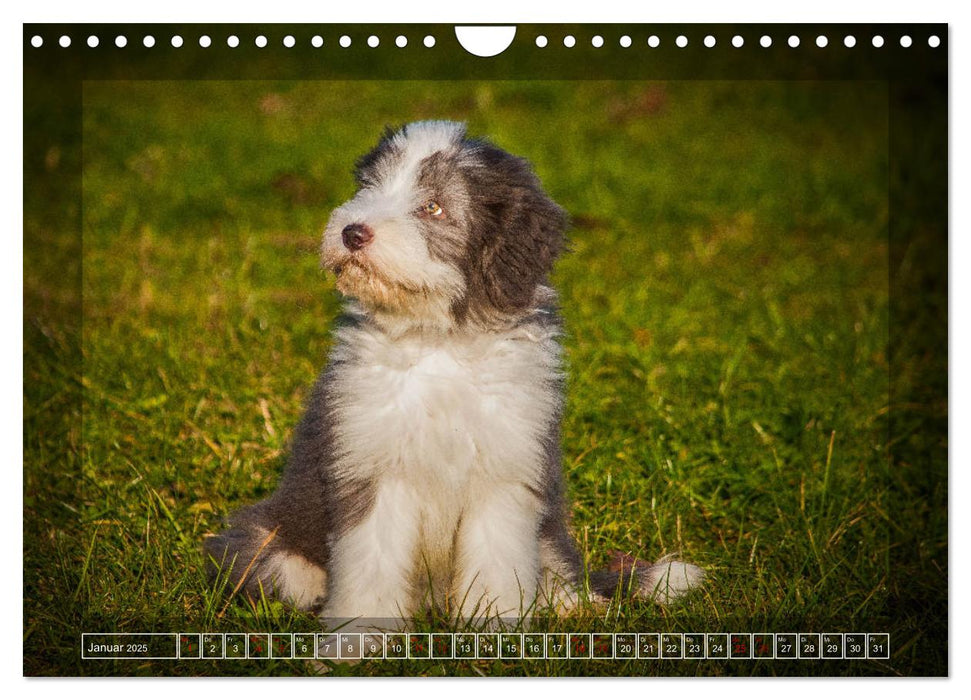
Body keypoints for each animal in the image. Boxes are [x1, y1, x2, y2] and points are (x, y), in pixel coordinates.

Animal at [207, 120, 708, 628]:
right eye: (368, 187)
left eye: (433, 206)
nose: (351, 231)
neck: (439, 342)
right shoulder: (372, 466)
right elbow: (371, 564)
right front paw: (357, 638)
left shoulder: (506, 471)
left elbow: (496, 562)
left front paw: (493, 631)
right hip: (264, 543)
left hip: (547, 530)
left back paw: (576, 604)